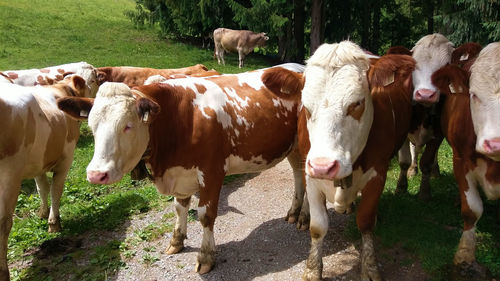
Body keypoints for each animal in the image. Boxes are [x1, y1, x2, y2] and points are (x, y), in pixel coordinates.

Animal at [0, 75, 91, 280]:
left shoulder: (38, 163)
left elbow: (42, 187)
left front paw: (42, 213)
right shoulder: (67, 157)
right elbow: (56, 189)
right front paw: (54, 223)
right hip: (9, 175)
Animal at [56, 65, 302, 274]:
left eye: (128, 125)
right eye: (92, 125)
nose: (96, 175)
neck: (180, 119)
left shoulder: (212, 173)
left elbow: (205, 216)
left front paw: (205, 257)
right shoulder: (180, 174)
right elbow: (179, 207)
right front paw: (176, 241)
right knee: (299, 174)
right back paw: (295, 212)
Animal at [292, 40, 416, 278]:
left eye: (357, 103)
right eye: (306, 107)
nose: (323, 166)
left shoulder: (378, 173)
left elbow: (365, 223)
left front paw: (370, 269)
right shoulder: (311, 174)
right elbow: (318, 227)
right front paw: (312, 270)